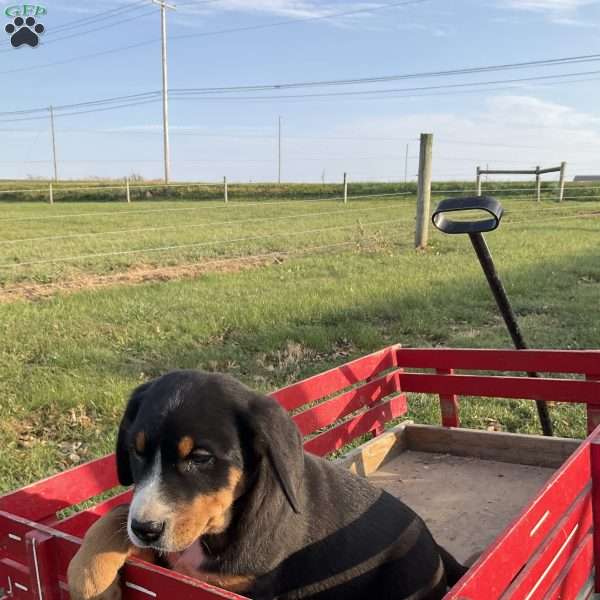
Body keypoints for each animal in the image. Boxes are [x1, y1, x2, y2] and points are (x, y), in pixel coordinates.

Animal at [68, 370, 466, 600]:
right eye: (136, 452)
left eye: (200, 457)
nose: (146, 530)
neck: (219, 531)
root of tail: (435, 548)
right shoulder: (168, 556)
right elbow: (117, 514)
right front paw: (88, 574)